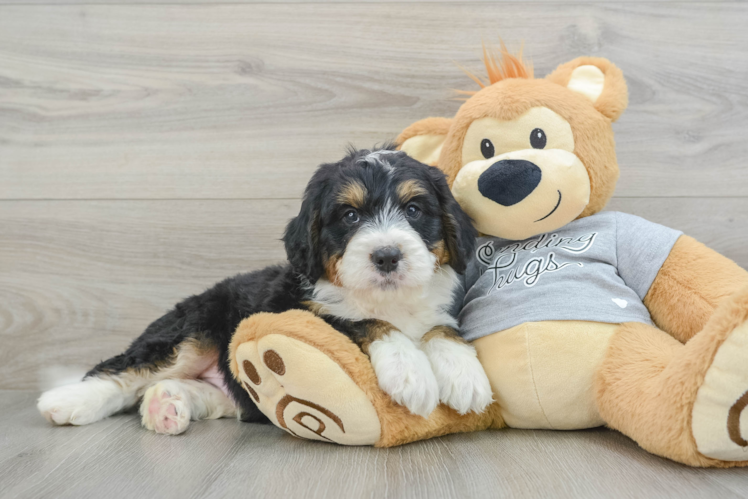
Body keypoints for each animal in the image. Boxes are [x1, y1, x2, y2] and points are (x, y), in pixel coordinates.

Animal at [38, 147, 494, 434]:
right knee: (122, 371)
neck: (388, 298)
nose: (386, 256)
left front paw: (464, 374)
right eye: (349, 216)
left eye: (414, 210)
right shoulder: (297, 309)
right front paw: (409, 371)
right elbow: (363, 321)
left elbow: (442, 328)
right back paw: (67, 401)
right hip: (194, 328)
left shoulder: (439, 309)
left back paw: (166, 405)